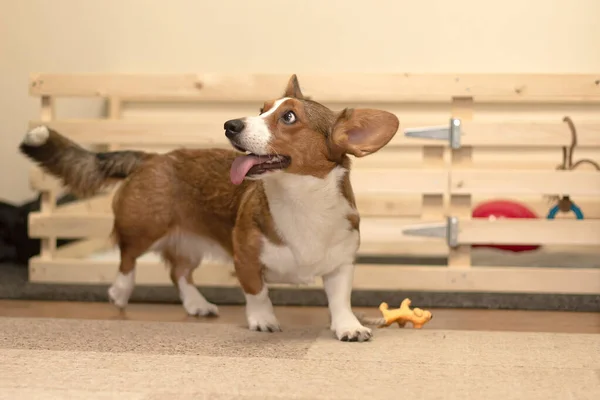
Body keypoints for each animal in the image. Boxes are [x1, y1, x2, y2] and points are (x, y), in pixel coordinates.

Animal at [19, 75, 398, 340]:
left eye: (289, 117)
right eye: (261, 110)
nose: (230, 125)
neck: (299, 201)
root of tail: (152, 158)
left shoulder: (341, 264)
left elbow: (340, 299)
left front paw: (348, 327)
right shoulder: (245, 260)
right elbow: (258, 293)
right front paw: (263, 321)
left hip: (189, 244)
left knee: (179, 273)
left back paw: (197, 304)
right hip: (144, 227)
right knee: (128, 259)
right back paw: (120, 291)